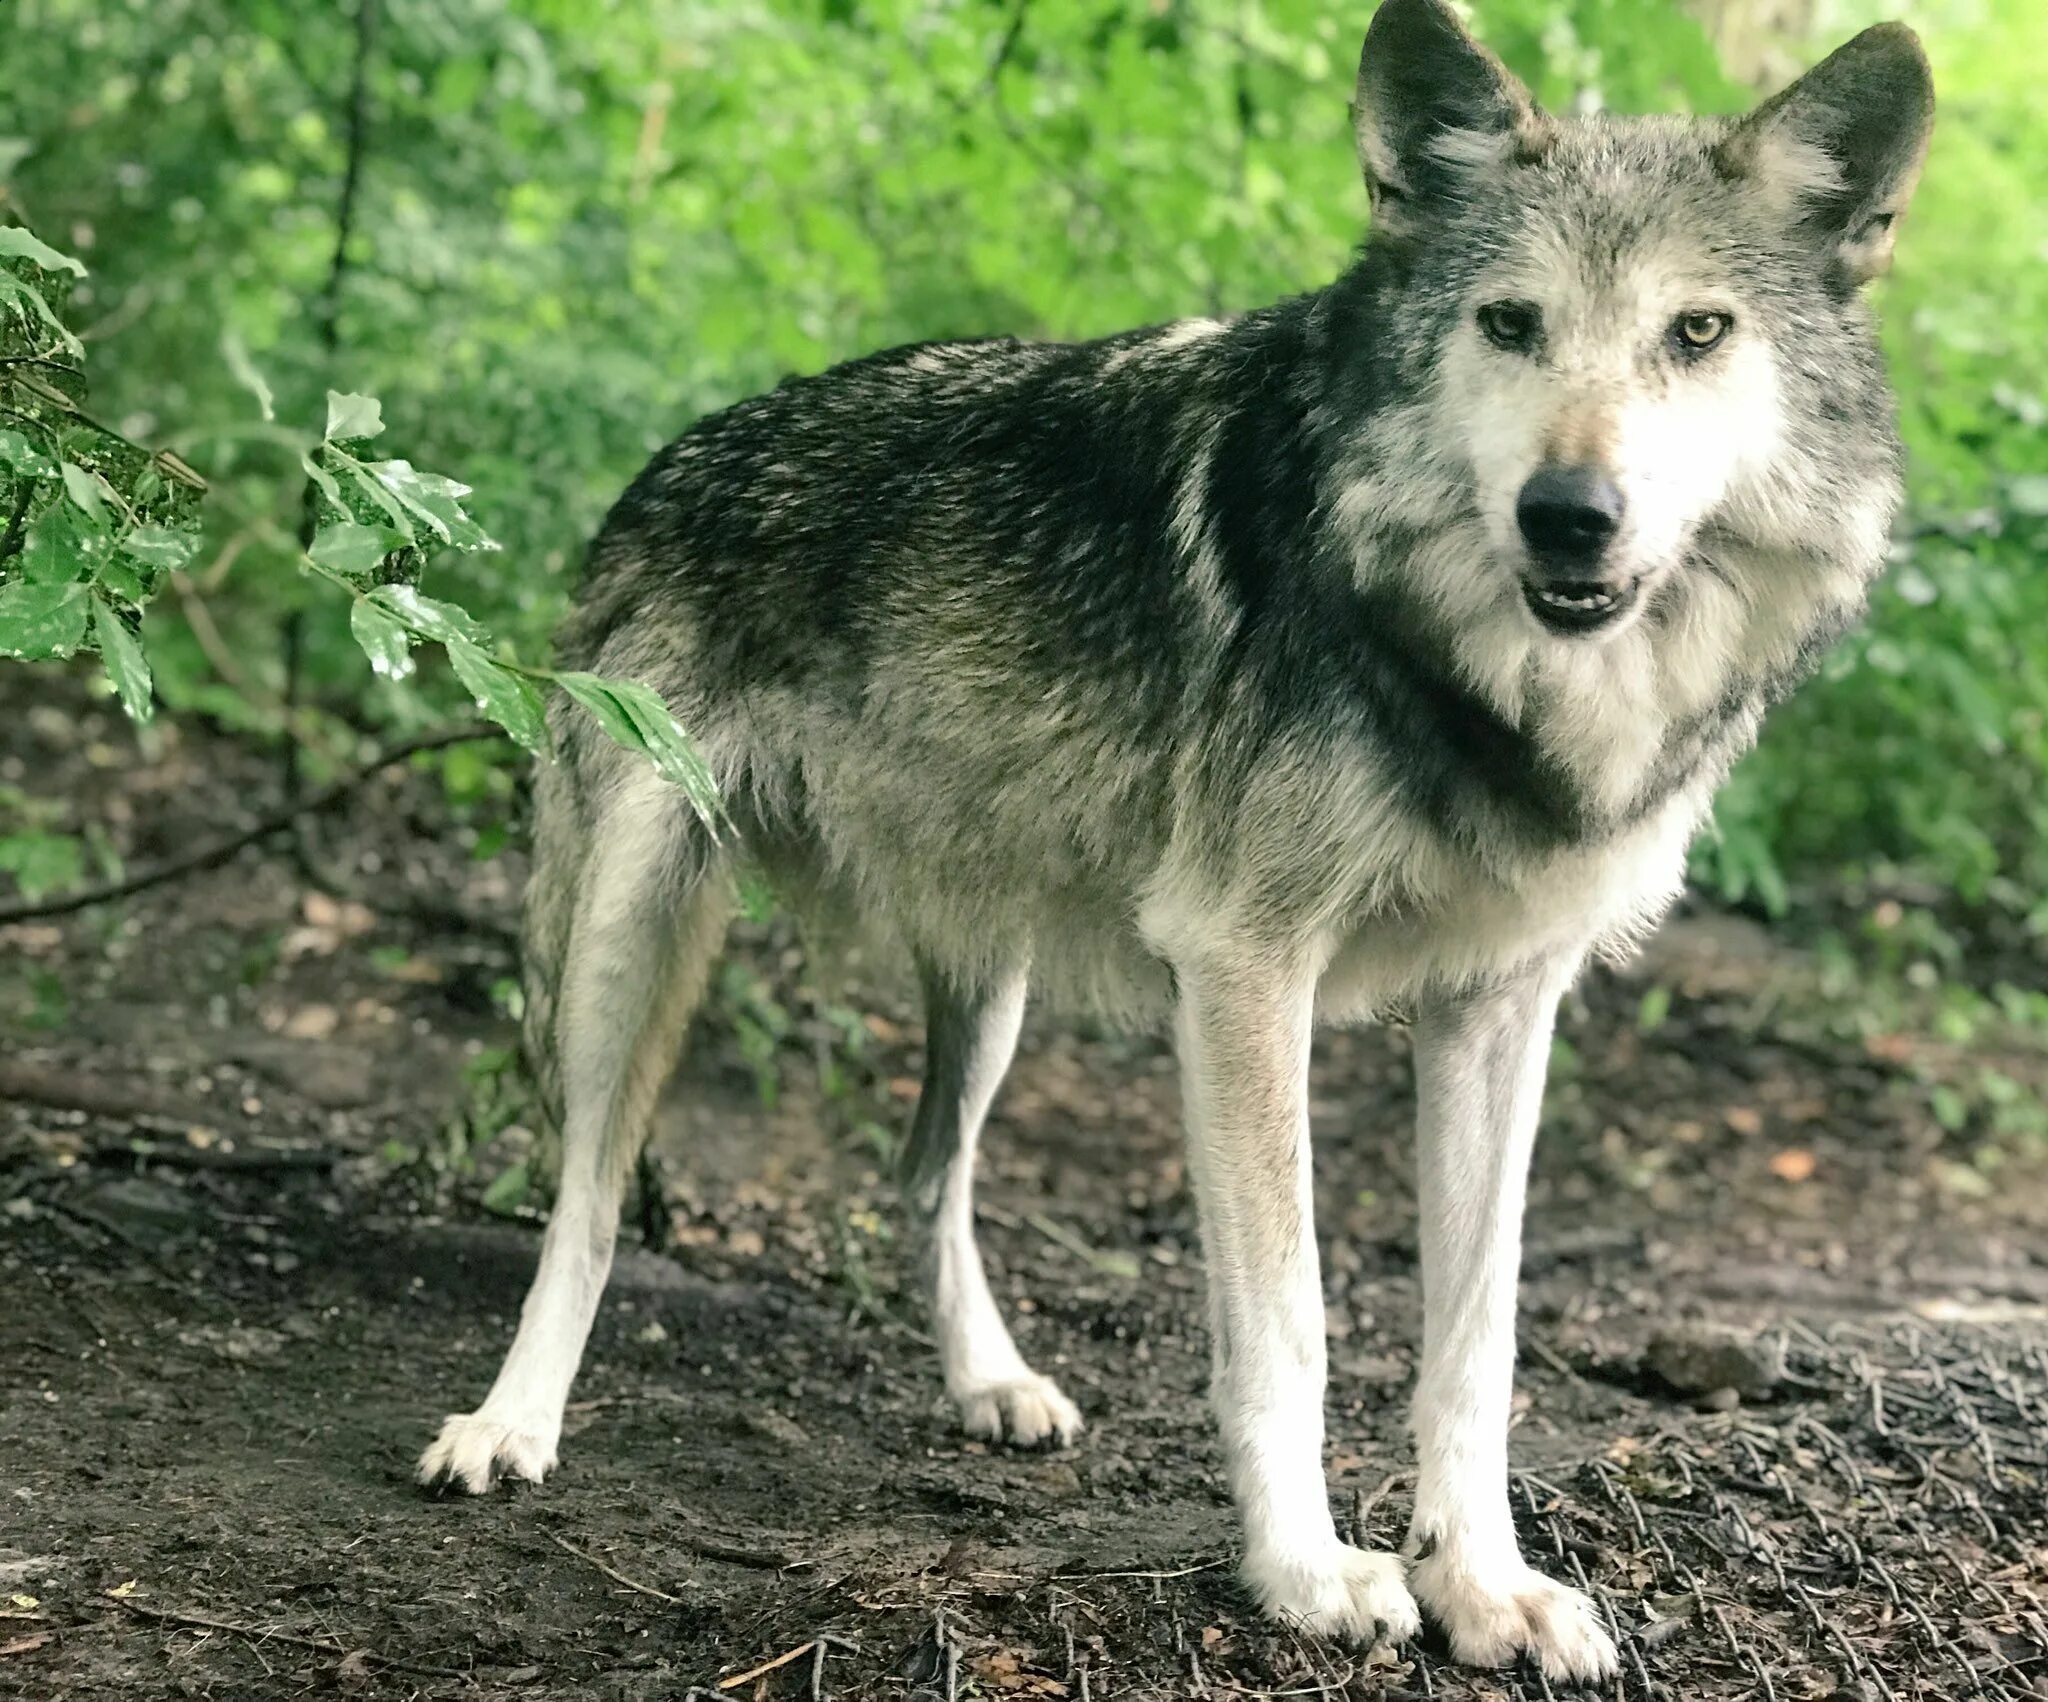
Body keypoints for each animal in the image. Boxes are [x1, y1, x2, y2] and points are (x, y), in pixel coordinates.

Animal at [419, 0, 1933, 1679]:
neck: (1474, 675)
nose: (1569, 513)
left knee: (923, 1171)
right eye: (1510, 324)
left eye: (1697, 333)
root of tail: (675, 450)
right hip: (633, 935)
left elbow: (1476, 1342)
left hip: (991, 983)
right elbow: (1290, 1320)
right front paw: (1309, 1571)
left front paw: (1482, 1584)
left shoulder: (1499, 1004)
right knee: (589, 1190)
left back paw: (990, 1383)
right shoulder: (1246, 971)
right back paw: (510, 1423)